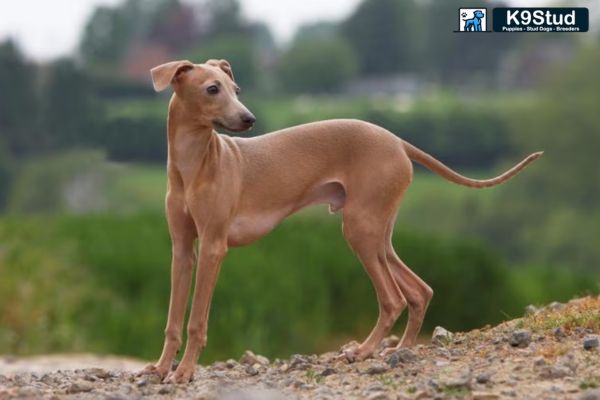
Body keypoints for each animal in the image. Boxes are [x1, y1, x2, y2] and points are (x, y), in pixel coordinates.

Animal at [139, 60, 540, 384]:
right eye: (212, 88)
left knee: (393, 299)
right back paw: (401, 349)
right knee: (418, 291)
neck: (194, 167)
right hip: (377, 234)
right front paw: (160, 368)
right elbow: (173, 318)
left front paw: (185, 372)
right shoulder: (183, 250)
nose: (249, 118)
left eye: (236, 89)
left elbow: (196, 320)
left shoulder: (213, 247)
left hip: (359, 230)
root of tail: (398, 141)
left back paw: (363, 351)